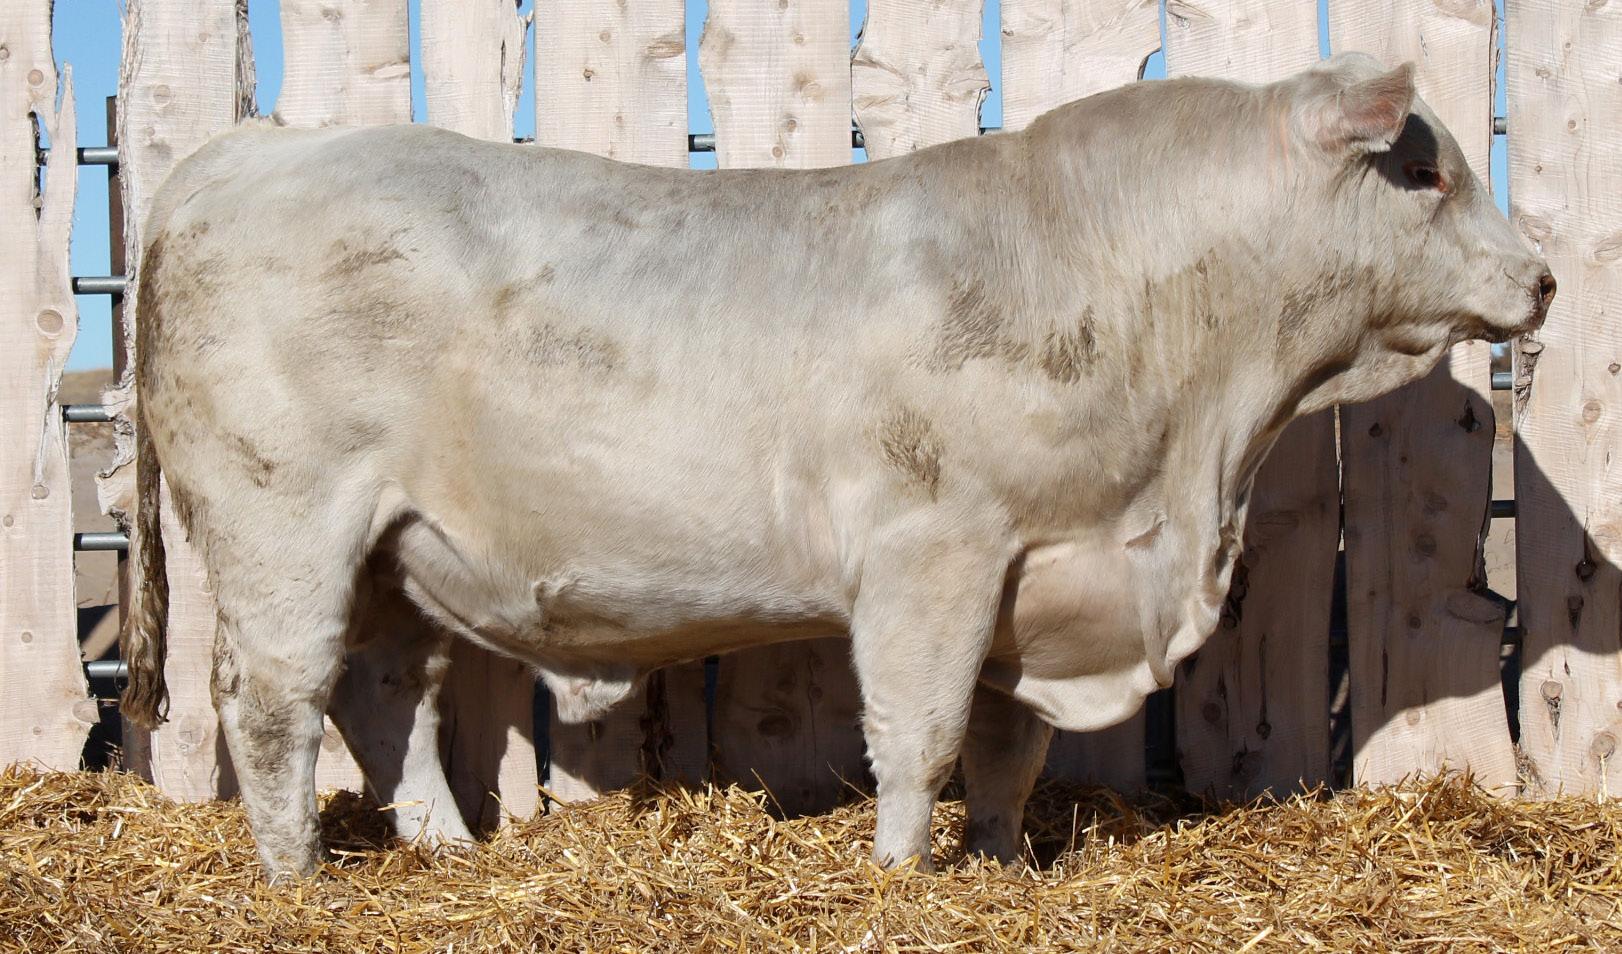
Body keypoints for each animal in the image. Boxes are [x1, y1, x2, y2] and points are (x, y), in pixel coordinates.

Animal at [120, 52, 1554, 880]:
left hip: (394, 552)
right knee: (273, 699)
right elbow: (918, 735)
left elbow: (1007, 750)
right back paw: (297, 879)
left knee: (382, 700)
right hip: (281, 520)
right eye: (1422, 169)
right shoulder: (933, 552)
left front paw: (999, 866)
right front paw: (898, 878)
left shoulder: (1037, 569)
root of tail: (254, 145)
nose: (1541, 277)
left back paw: (441, 846)